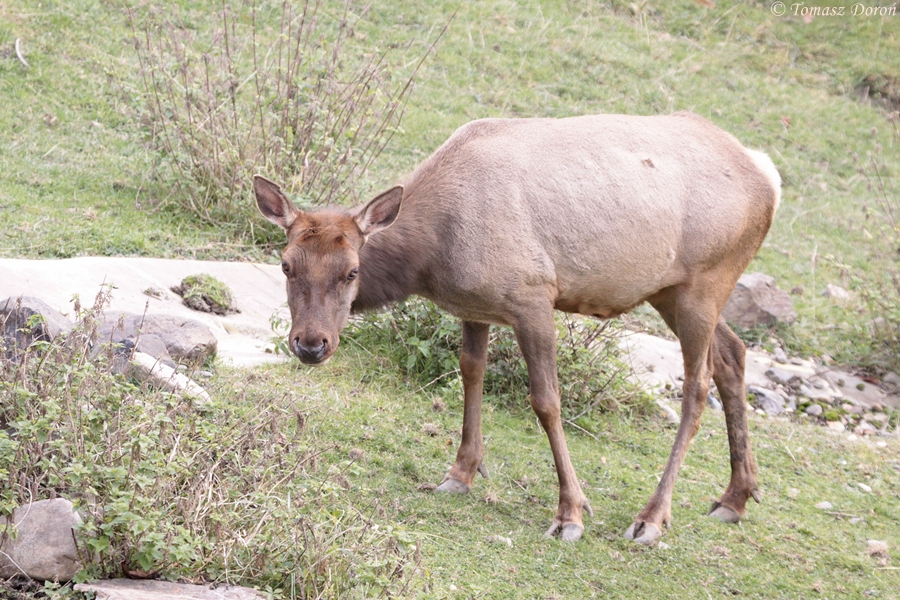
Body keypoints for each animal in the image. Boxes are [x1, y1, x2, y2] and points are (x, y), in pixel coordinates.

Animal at [254, 111, 781, 545]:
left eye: (351, 271)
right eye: (286, 264)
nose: (311, 344)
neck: (432, 257)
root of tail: (769, 176)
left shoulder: (533, 297)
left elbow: (546, 401)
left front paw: (571, 513)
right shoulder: (473, 305)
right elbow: (471, 373)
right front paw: (460, 473)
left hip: (705, 283)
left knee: (697, 385)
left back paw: (651, 519)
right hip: (672, 290)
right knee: (733, 355)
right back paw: (736, 497)